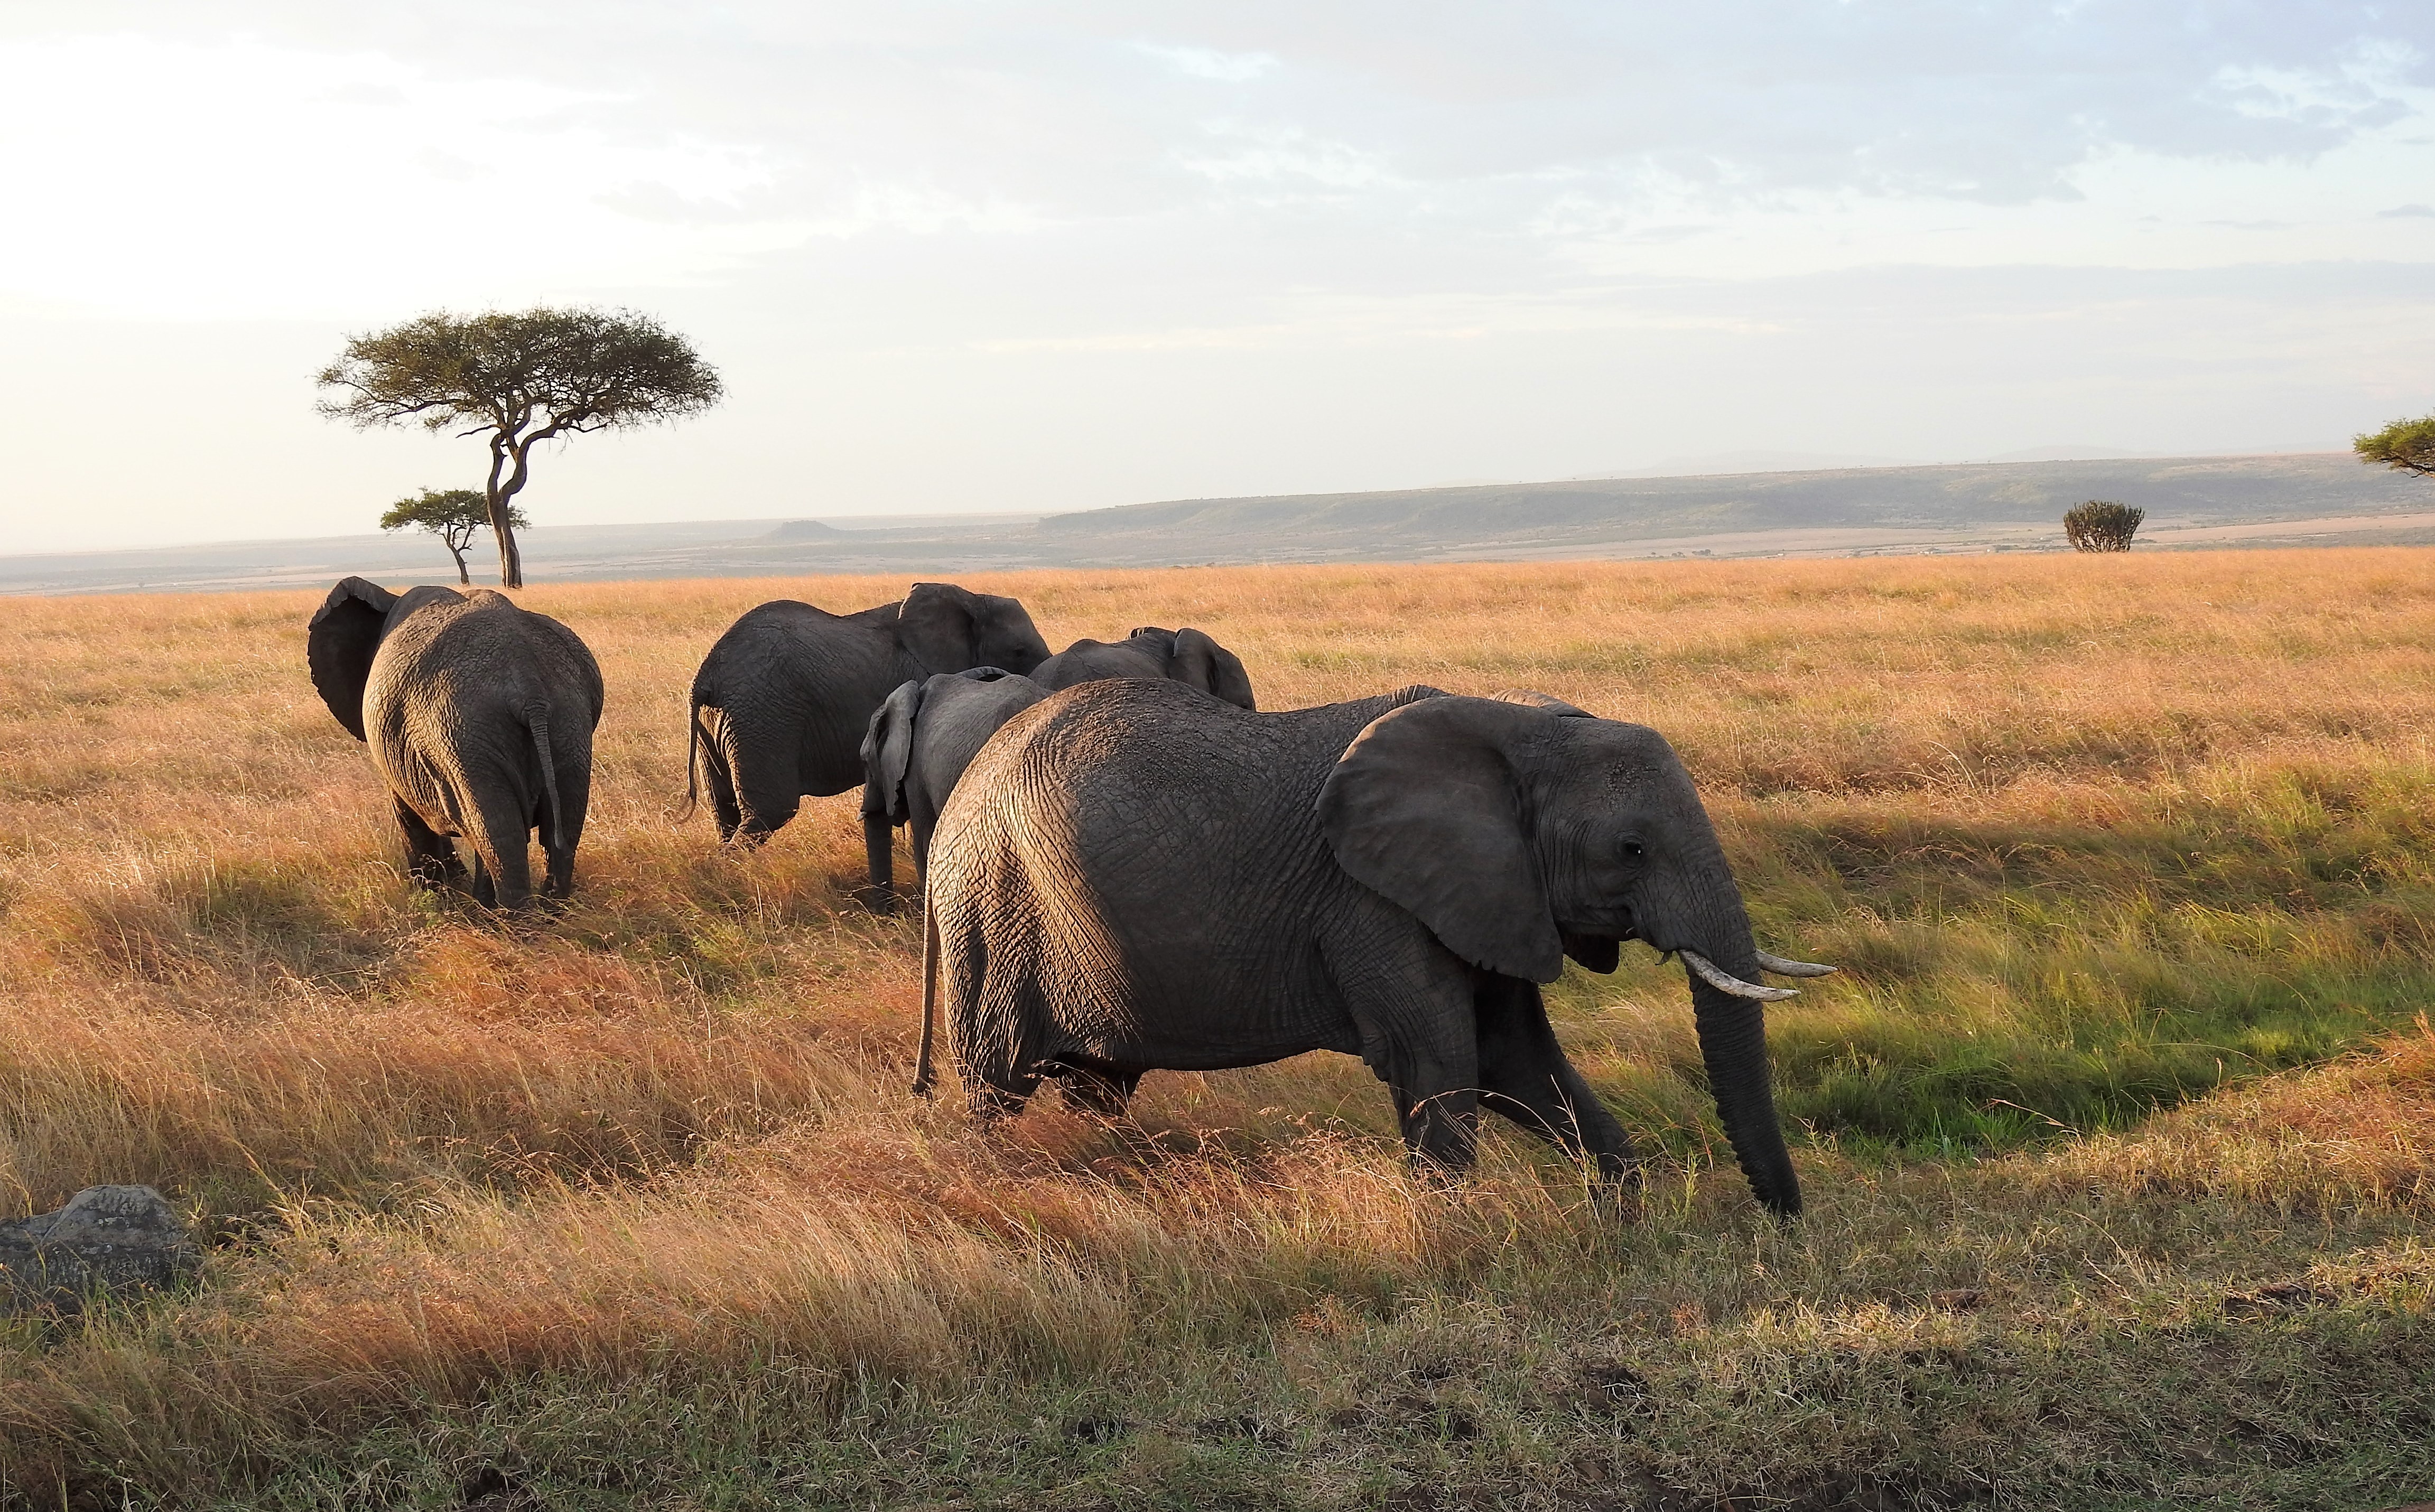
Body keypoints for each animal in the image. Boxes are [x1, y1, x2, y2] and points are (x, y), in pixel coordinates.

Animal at [308, 577, 605, 908]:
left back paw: (507, 918)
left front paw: (434, 896)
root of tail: (529, 683)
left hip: (464, 734)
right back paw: (543, 911)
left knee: (501, 834)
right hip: (568, 727)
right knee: (557, 825)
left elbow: (409, 814)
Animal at [684, 583, 1052, 846]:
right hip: (763, 716)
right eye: (1019, 651)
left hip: (725, 723)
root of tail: (705, 678)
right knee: (769, 812)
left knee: (724, 810)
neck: (973, 598)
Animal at [919, 679, 1831, 1217]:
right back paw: (990, 1181)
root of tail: (958, 799)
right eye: (1632, 848)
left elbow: (1514, 1060)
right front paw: (1456, 1237)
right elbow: (1443, 1061)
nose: (1783, 1220)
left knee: (1094, 1082)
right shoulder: (1374, 902)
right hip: (993, 914)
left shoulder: (1492, 893)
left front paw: (1625, 1217)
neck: (1524, 728)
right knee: (997, 1080)